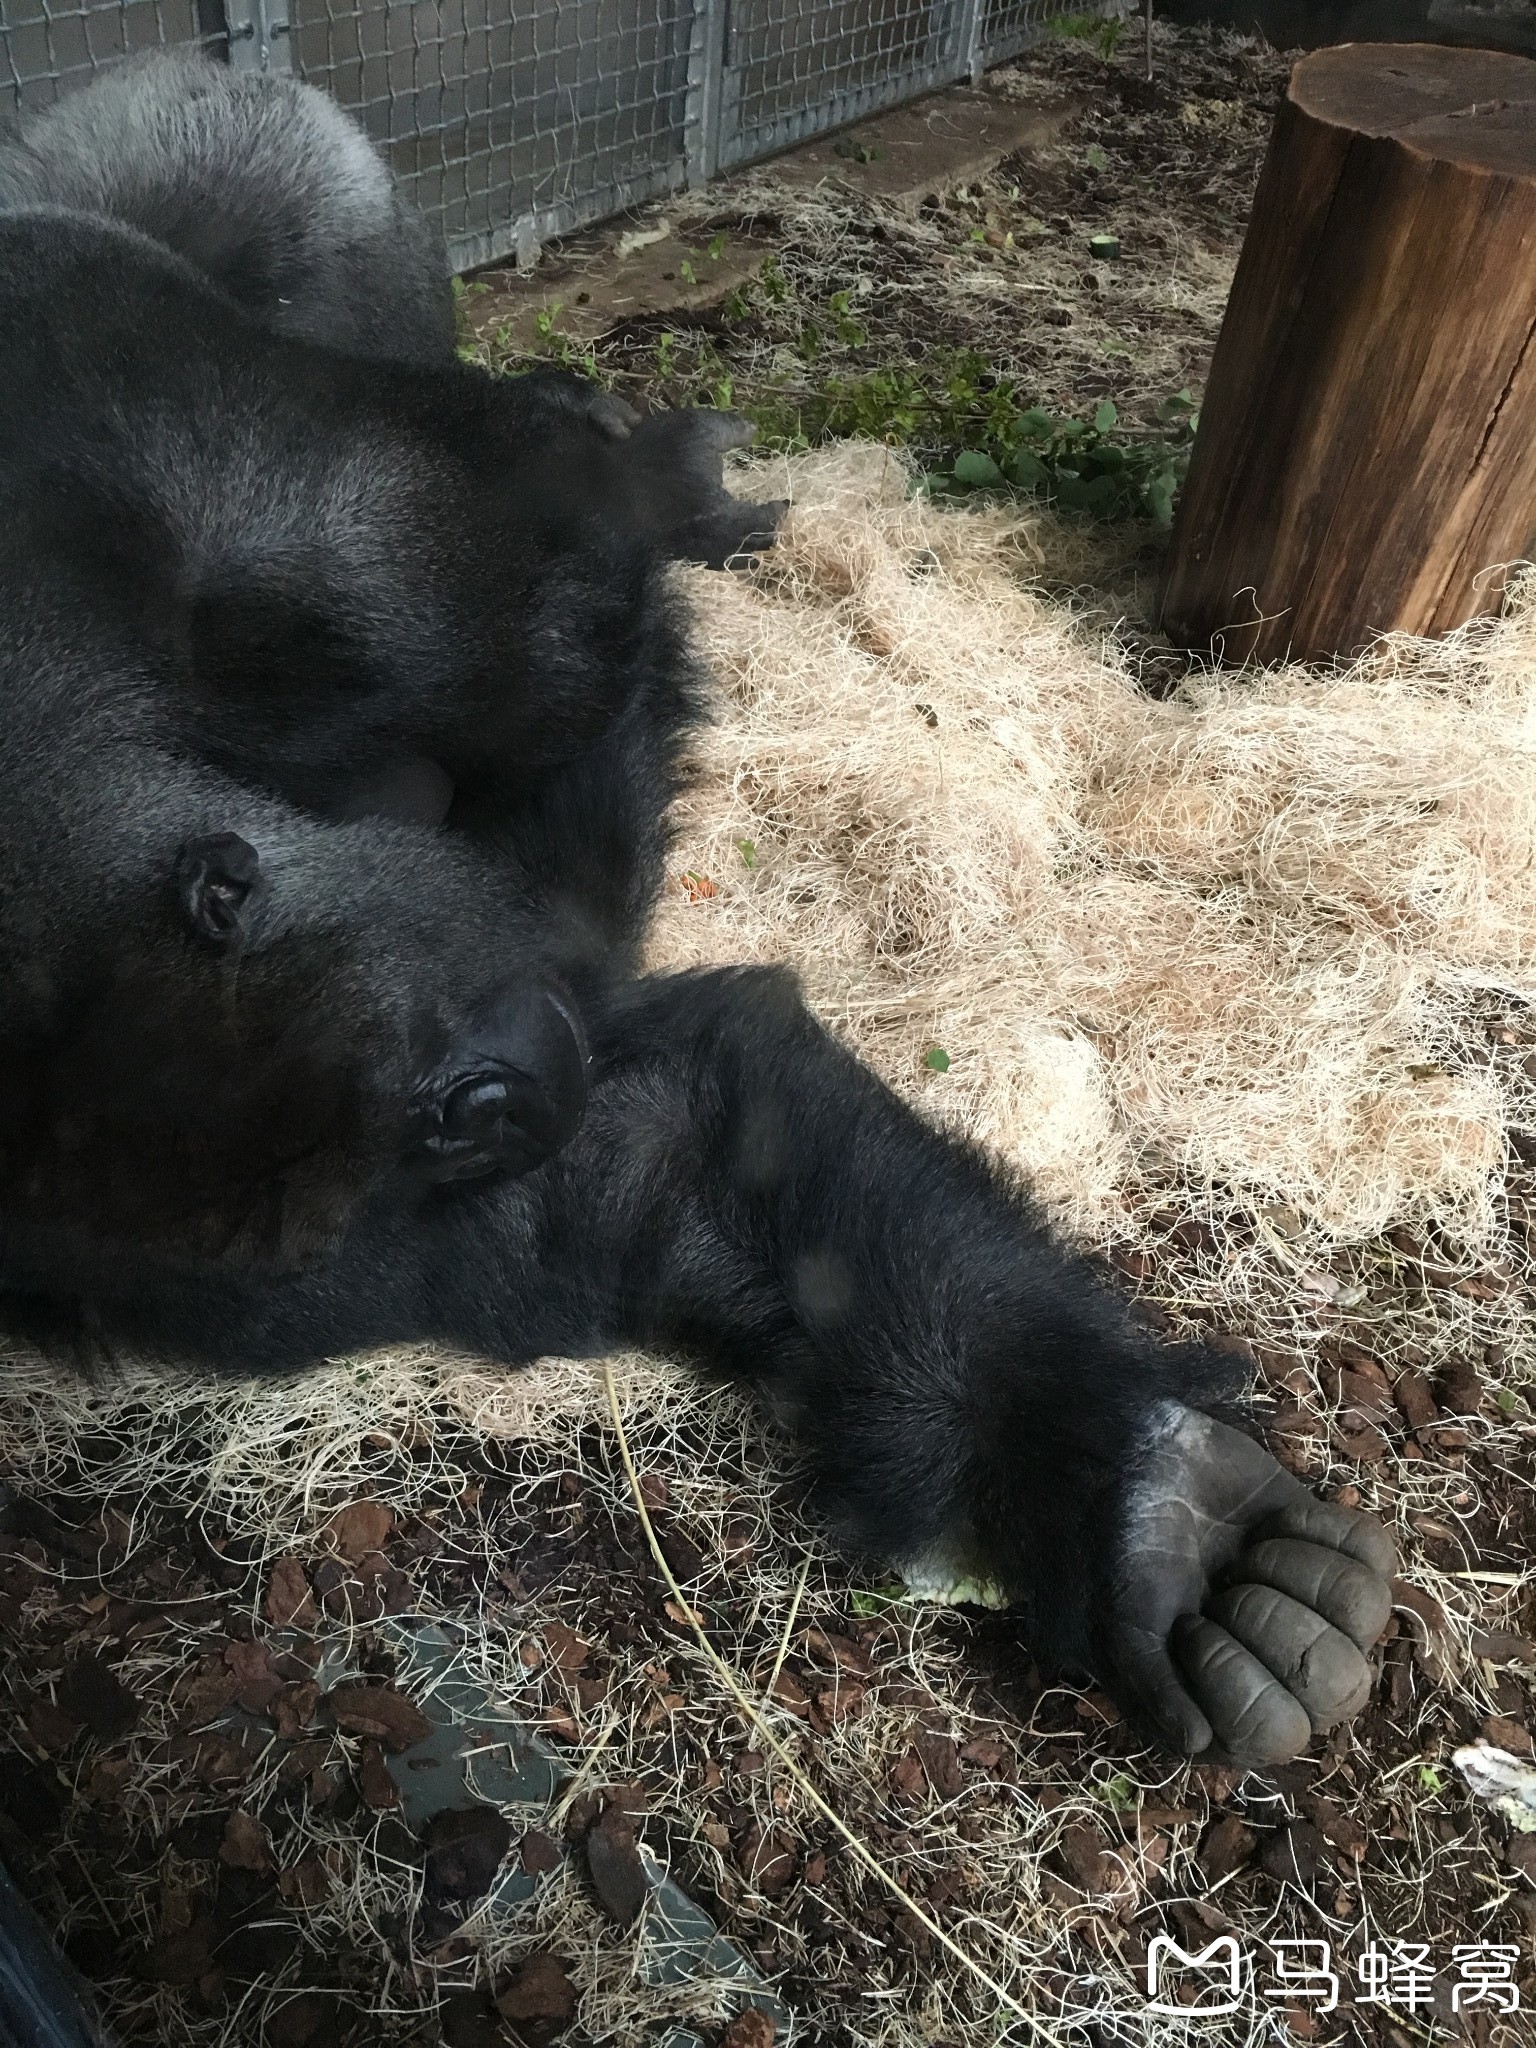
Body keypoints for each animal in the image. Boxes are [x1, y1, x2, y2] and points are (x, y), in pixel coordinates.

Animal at [0, 56, 1392, 1769]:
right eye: (415, 1144)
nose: (510, 1088)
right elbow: (636, 1161)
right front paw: (1123, 1505)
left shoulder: (188, 456)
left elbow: (535, 589)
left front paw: (1144, 1494)